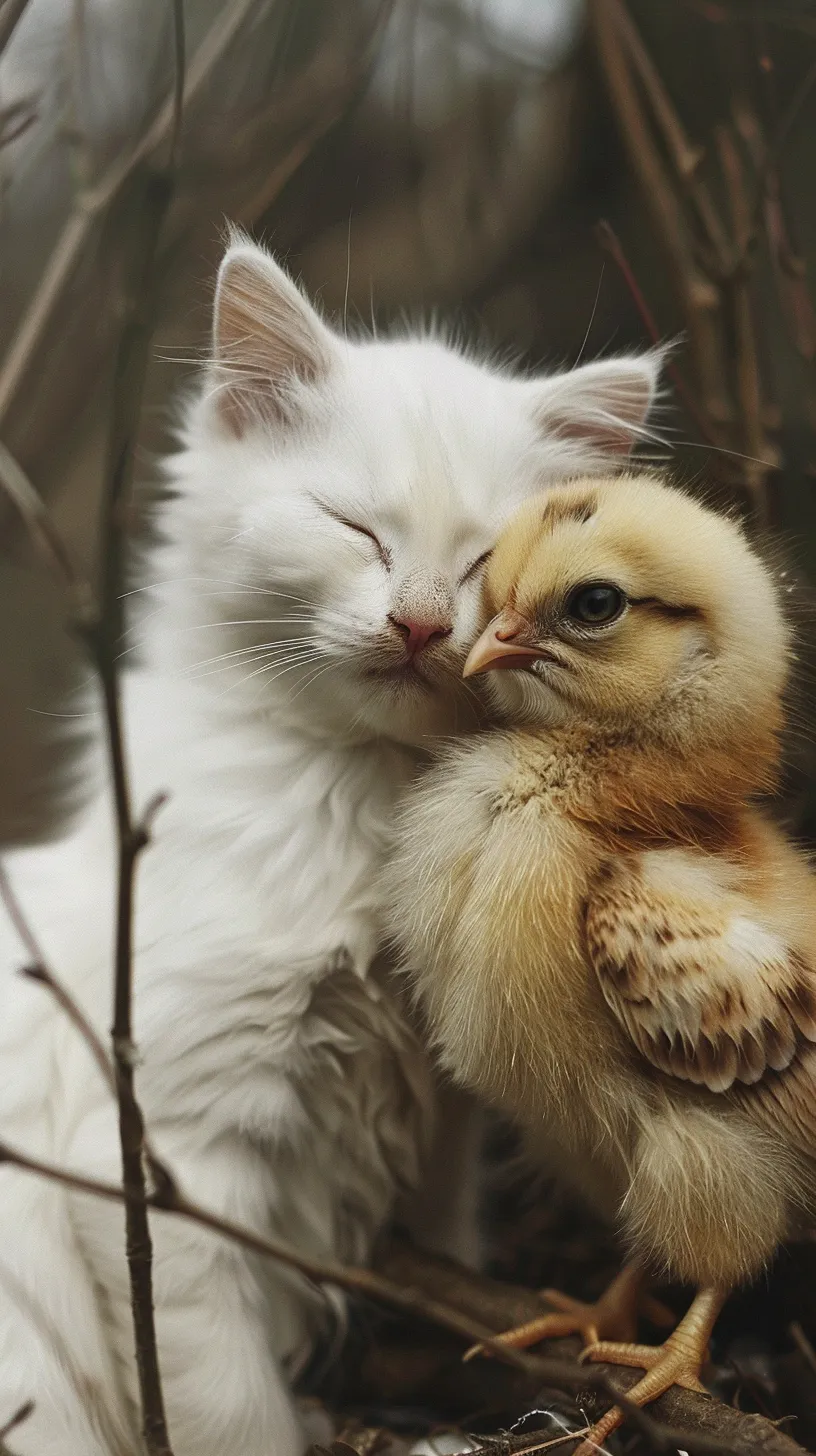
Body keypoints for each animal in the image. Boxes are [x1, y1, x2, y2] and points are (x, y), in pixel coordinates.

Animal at [0, 241, 658, 1456]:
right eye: (356, 530)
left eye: (485, 562)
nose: (419, 622)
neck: (373, 799)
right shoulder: (165, 1145)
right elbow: (226, 1401)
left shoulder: (439, 1129)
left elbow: (449, 1252)